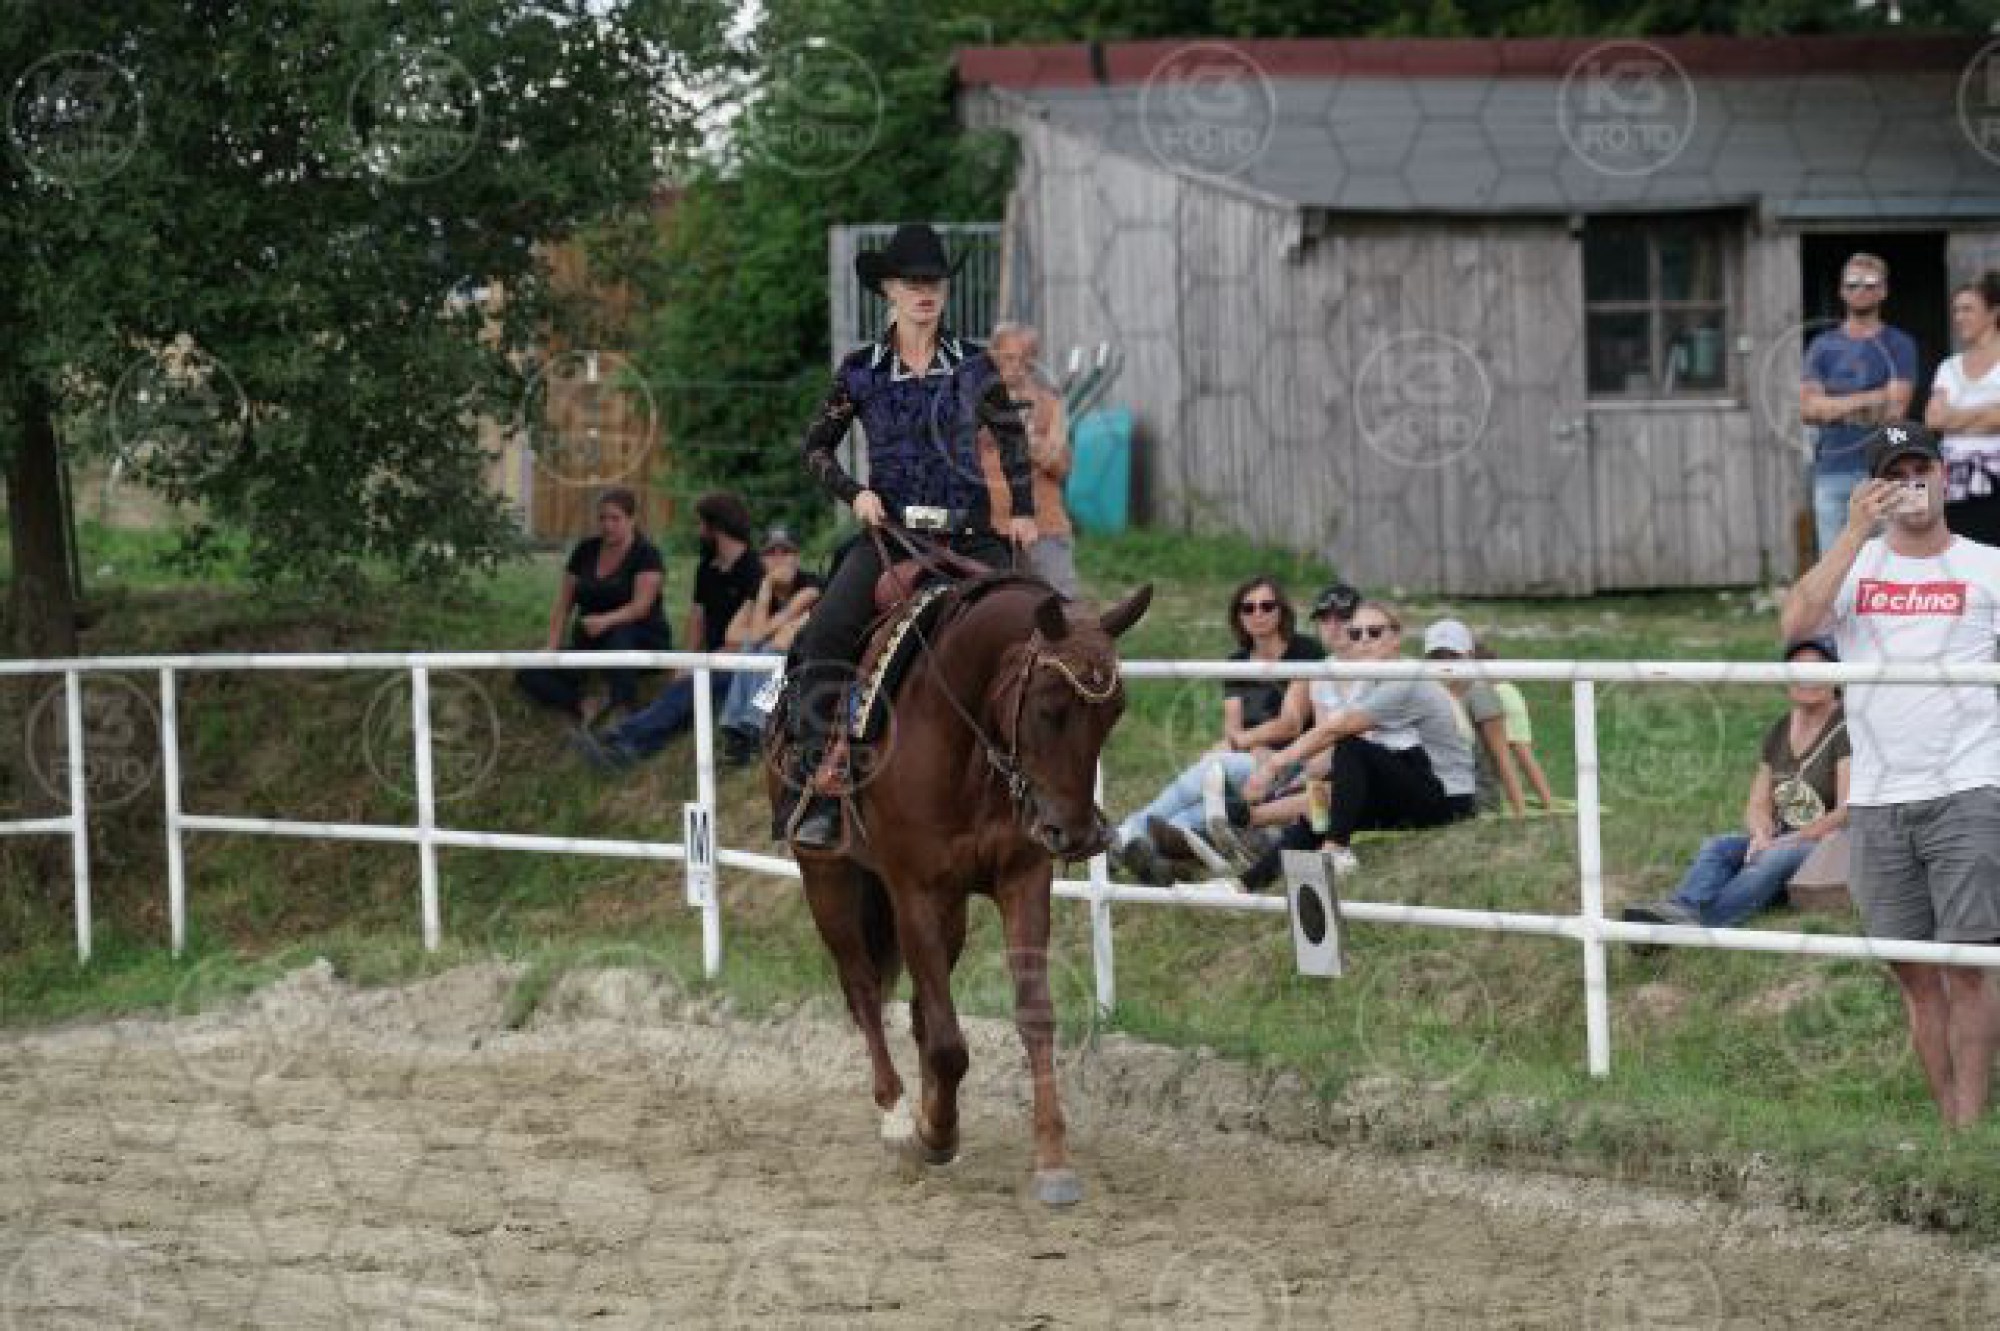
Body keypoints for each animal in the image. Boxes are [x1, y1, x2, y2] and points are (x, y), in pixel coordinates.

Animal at [767, 572, 1151, 1206]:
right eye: (1049, 709)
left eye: (1115, 711)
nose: (1074, 834)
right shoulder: (914, 890)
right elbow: (948, 1041)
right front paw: (935, 1135)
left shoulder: (1022, 879)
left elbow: (1032, 1015)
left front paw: (1052, 1161)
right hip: (829, 878)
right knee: (865, 990)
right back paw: (899, 1118)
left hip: (949, 909)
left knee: (920, 1006)